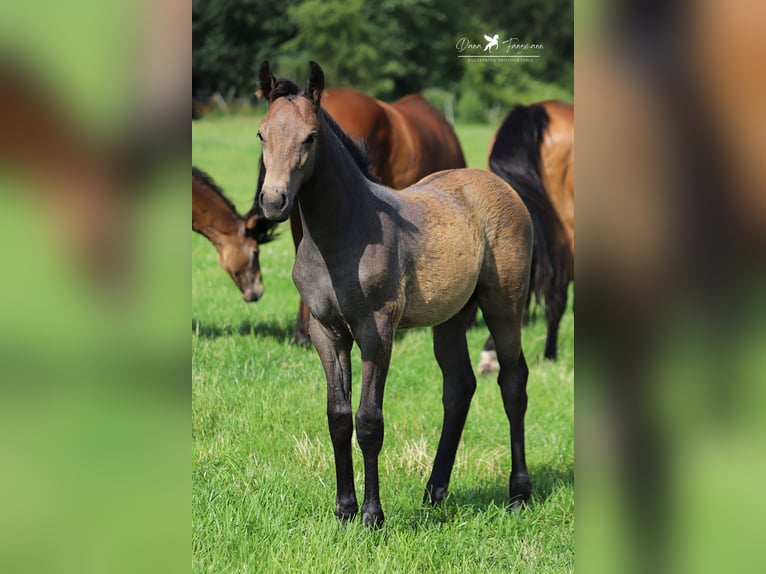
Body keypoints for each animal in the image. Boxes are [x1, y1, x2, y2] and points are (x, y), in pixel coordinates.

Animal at [258, 60, 536, 528]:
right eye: (262, 134)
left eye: (310, 137)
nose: (274, 201)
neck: (343, 232)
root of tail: (500, 186)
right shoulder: (326, 332)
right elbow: (338, 418)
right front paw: (344, 510)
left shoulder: (377, 331)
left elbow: (369, 421)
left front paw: (372, 515)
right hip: (451, 317)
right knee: (458, 387)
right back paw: (435, 491)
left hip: (504, 306)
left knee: (513, 383)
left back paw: (519, 494)